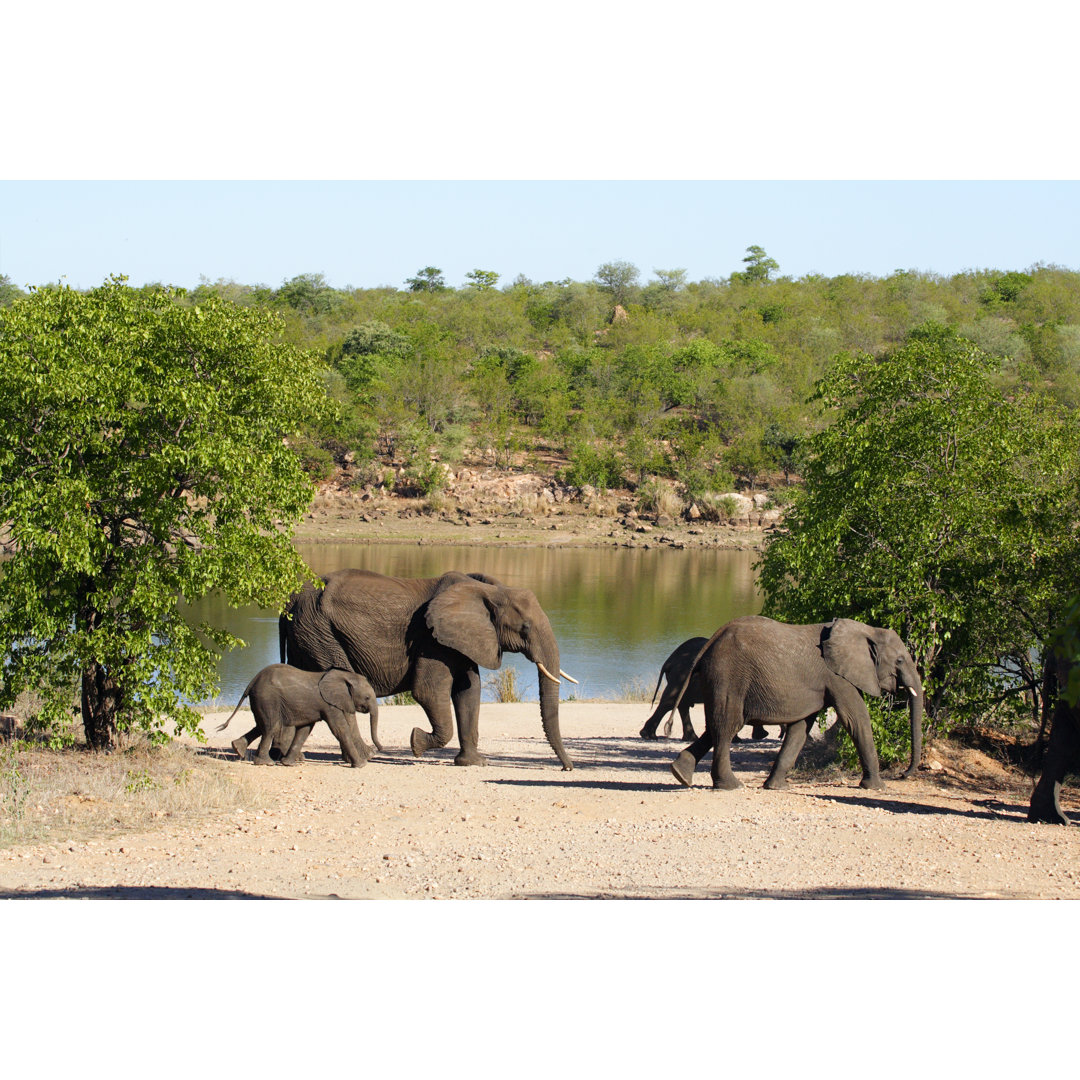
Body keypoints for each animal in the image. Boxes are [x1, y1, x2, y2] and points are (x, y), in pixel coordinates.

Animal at [217, 660, 382, 764]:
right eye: (367, 697)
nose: (380, 749)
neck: (345, 677)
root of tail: (252, 681)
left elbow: (305, 730)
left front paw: (288, 763)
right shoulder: (329, 705)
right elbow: (340, 729)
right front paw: (361, 764)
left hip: (261, 699)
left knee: (261, 725)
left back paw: (238, 749)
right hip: (267, 698)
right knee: (271, 727)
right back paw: (265, 762)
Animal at [282, 570, 578, 773]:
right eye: (525, 628)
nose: (567, 768)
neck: (489, 591)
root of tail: (290, 603)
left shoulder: (460, 640)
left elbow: (469, 692)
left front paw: (474, 763)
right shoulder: (430, 640)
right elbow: (428, 692)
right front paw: (416, 742)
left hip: (307, 635)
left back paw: (294, 758)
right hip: (320, 634)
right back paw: (364, 756)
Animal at [660, 617, 924, 794]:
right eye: (900, 660)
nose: (903, 774)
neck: (865, 630)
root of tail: (713, 638)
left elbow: (800, 729)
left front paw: (776, 787)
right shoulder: (838, 678)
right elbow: (856, 718)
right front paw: (877, 787)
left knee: (717, 726)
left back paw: (681, 774)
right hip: (728, 675)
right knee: (726, 726)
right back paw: (730, 786)